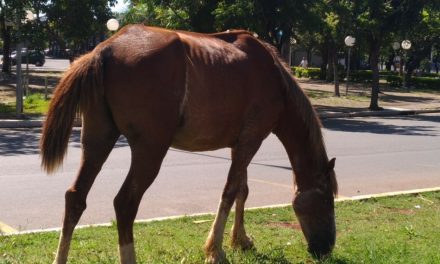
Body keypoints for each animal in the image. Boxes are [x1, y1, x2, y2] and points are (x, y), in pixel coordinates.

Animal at [40, 23, 336, 262]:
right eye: (326, 199)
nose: (326, 248)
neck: (275, 79)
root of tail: (103, 51)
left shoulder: (239, 144)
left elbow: (242, 190)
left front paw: (241, 240)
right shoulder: (251, 141)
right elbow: (230, 192)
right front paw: (216, 250)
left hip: (98, 140)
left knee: (75, 198)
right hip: (150, 150)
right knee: (125, 204)